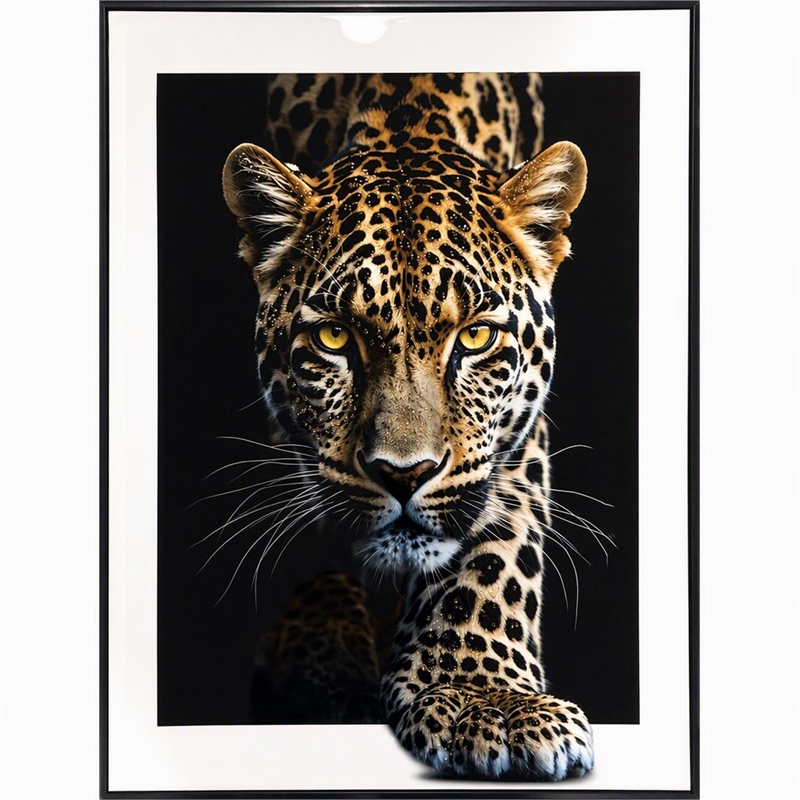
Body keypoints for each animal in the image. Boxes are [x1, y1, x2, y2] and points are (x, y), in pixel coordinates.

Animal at [223, 73, 592, 780]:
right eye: (335, 338)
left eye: (474, 337)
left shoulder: (511, 440)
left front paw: (485, 697)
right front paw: (324, 678)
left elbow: (495, 549)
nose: (403, 475)